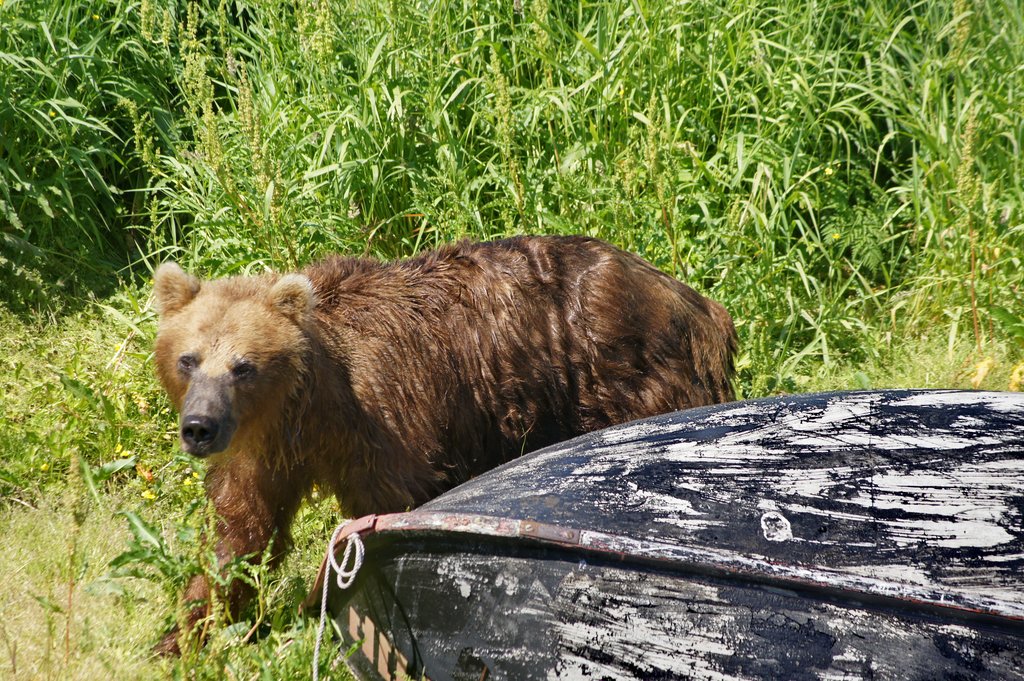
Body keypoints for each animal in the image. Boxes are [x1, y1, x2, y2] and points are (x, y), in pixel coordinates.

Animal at [149, 235, 737, 655]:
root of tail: (697, 301)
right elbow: (242, 528)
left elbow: (389, 508)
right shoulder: (263, 448)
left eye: (243, 366)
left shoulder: (382, 423)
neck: (310, 409)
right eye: (188, 359)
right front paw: (187, 631)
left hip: (625, 376)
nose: (199, 426)